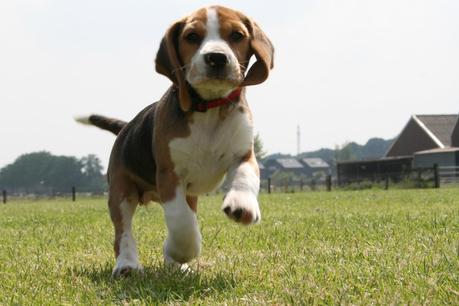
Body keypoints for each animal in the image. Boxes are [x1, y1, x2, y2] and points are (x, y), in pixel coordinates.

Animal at [76, 4, 274, 278]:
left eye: (237, 35)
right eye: (191, 36)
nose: (216, 58)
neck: (209, 107)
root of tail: (125, 127)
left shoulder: (243, 155)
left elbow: (245, 178)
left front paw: (241, 205)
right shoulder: (169, 174)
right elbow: (181, 221)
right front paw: (180, 250)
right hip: (121, 191)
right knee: (123, 231)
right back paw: (127, 264)